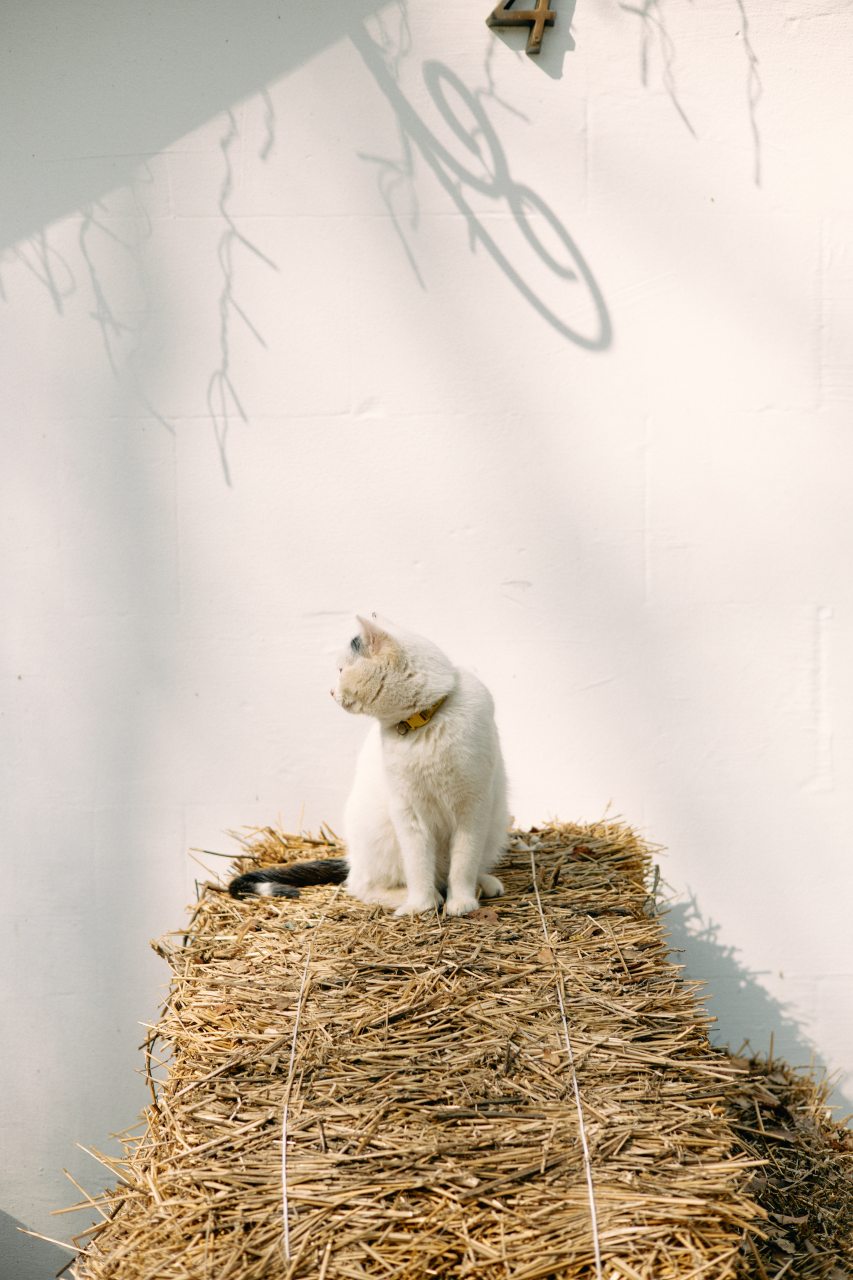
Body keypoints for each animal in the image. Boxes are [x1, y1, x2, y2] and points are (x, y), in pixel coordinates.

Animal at [229, 615, 508, 917]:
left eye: (341, 670)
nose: (330, 691)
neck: (424, 723)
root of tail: (352, 858)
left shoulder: (474, 807)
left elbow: (464, 862)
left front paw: (462, 901)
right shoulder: (408, 811)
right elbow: (418, 865)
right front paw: (421, 905)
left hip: (495, 821)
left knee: (457, 869)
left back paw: (482, 884)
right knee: (362, 885)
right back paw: (415, 897)